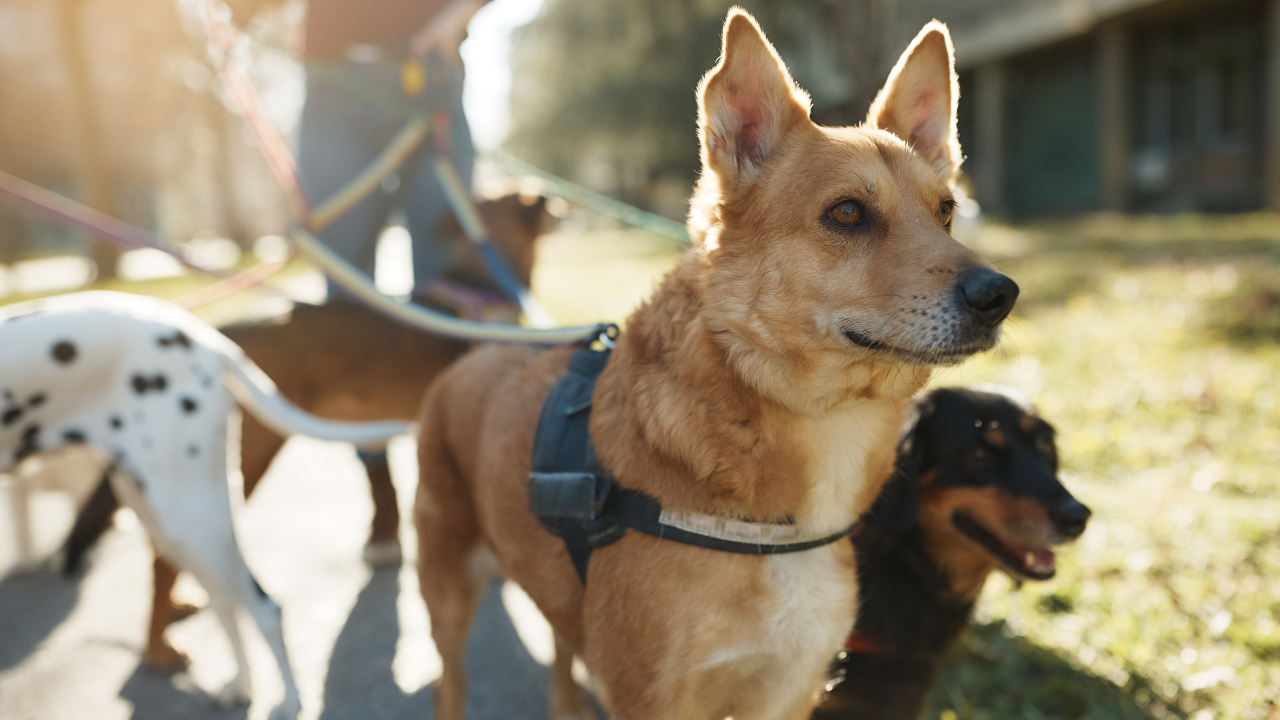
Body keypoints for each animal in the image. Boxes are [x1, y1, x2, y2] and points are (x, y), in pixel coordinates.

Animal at [0, 289, 409, 717]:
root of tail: (206, 338)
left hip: (190, 516)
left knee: (261, 606)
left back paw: (289, 701)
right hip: (166, 519)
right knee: (224, 598)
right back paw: (242, 684)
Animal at [414, 11, 1013, 717]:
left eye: (946, 211)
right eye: (846, 213)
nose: (1000, 295)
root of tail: (483, 348)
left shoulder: (788, 689)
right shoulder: (651, 698)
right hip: (446, 596)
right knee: (451, 681)